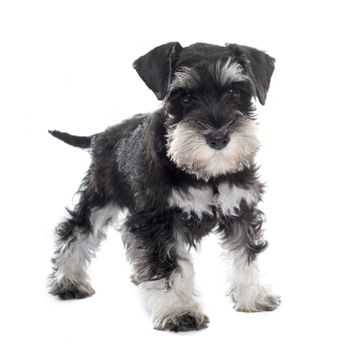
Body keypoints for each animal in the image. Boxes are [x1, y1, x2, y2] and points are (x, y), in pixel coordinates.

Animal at [47, 42, 280, 332]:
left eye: (235, 91)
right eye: (185, 97)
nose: (218, 138)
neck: (206, 174)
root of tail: (102, 135)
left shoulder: (241, 208)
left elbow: (245, 255)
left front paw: (253, 296)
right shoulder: (160, 219)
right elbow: (170, 266)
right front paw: (179, 311)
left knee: (127, 234)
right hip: (100, 198)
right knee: (75, 232)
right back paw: (67, 281)